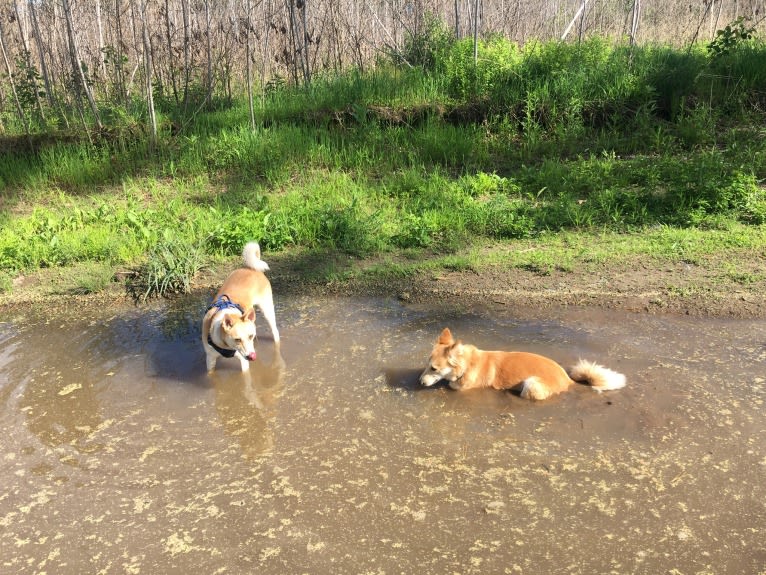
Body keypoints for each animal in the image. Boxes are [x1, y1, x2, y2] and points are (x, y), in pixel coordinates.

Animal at [202, 242, 280, 374]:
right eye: (237, 339)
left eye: (250, 336)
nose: (252, 357)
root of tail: (252, 268)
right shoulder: (210, 358)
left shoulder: (243, 361)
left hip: (267, 309)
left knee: (275, 331)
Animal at [420, 328, 632, 400]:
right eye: (426, 364)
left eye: (434, 368)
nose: (420, 382)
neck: (467, 365)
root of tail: (568, 380)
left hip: (531, 383)